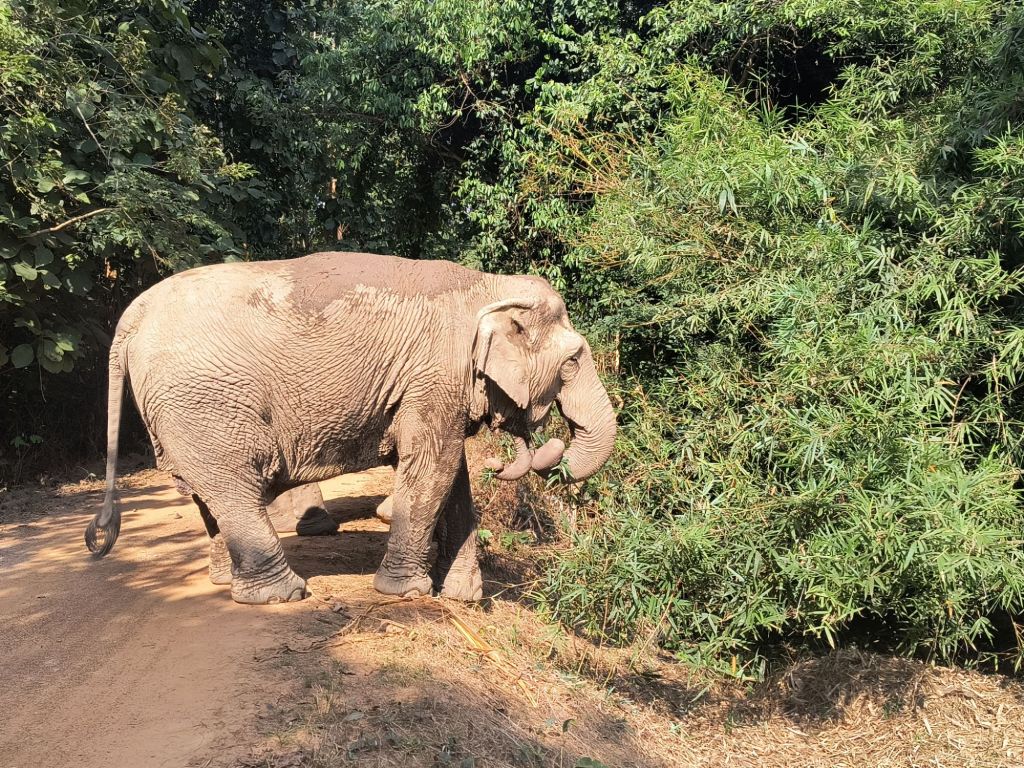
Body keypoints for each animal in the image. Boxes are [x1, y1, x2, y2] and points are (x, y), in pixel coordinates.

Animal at [85, 251, 617, 604]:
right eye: (572, 363)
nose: (541, 450)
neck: (488, 286)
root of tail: (129, 319)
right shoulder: (435, 372)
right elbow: (434, 466)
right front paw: (405, 593)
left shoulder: (434, 384)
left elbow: (451, 474)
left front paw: (462, 596)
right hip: (206, 403)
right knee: (233, 484)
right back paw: (283, 595)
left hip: (185, 412)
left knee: (208, 491)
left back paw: (227, 582)